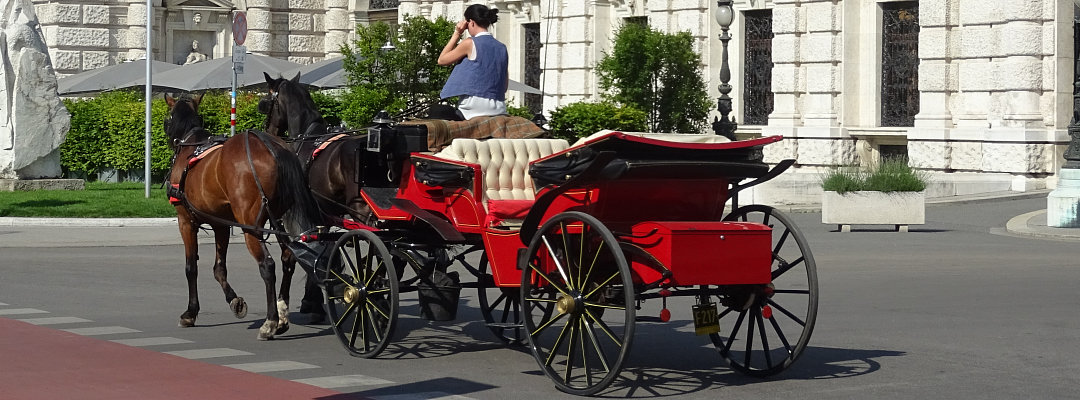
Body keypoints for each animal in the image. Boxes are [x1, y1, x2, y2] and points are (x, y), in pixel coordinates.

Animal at [162, 93, 317, 341]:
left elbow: (190, 267)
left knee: (268, 265)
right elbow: (219, 269)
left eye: (166, 120)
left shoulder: (185, 221)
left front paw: (190, 312)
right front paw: (234, 300)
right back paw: (282, 316)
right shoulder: (221, 224)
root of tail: (272, 147)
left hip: (251, 226)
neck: (190, 146)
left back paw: (270, 322)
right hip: (280, 219)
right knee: (288, 259)